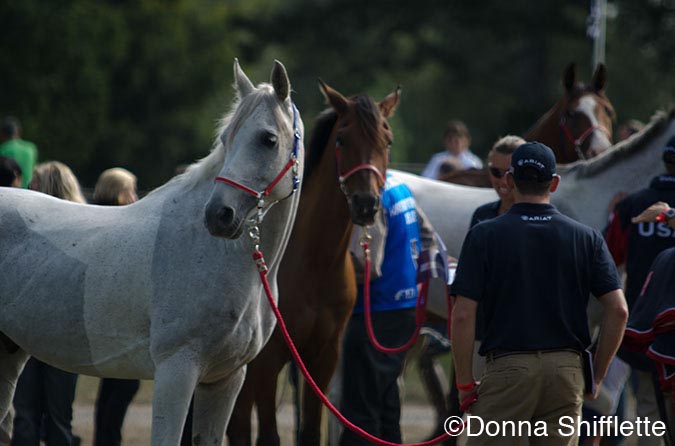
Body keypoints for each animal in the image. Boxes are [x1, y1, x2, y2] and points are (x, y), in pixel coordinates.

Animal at [228, 81, 402, 446]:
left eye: (387, 140)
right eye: (342, 139)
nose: (366, 204)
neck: (314, 264)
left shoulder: (323, 357)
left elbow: (308, 432)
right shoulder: (269, 359)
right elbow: (269, 436)